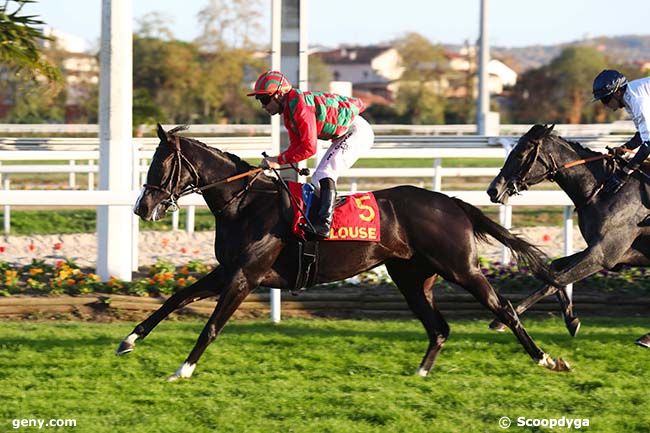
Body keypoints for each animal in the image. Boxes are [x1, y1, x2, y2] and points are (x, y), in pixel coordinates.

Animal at [486, 123, 648, 346]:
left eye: (519, 154)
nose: (492, 190)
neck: (605, 190)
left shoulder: (604, 254)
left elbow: (557, 279)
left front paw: (503, 319)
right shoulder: (608, 252)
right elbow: (555, 270)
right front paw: (571, 320)